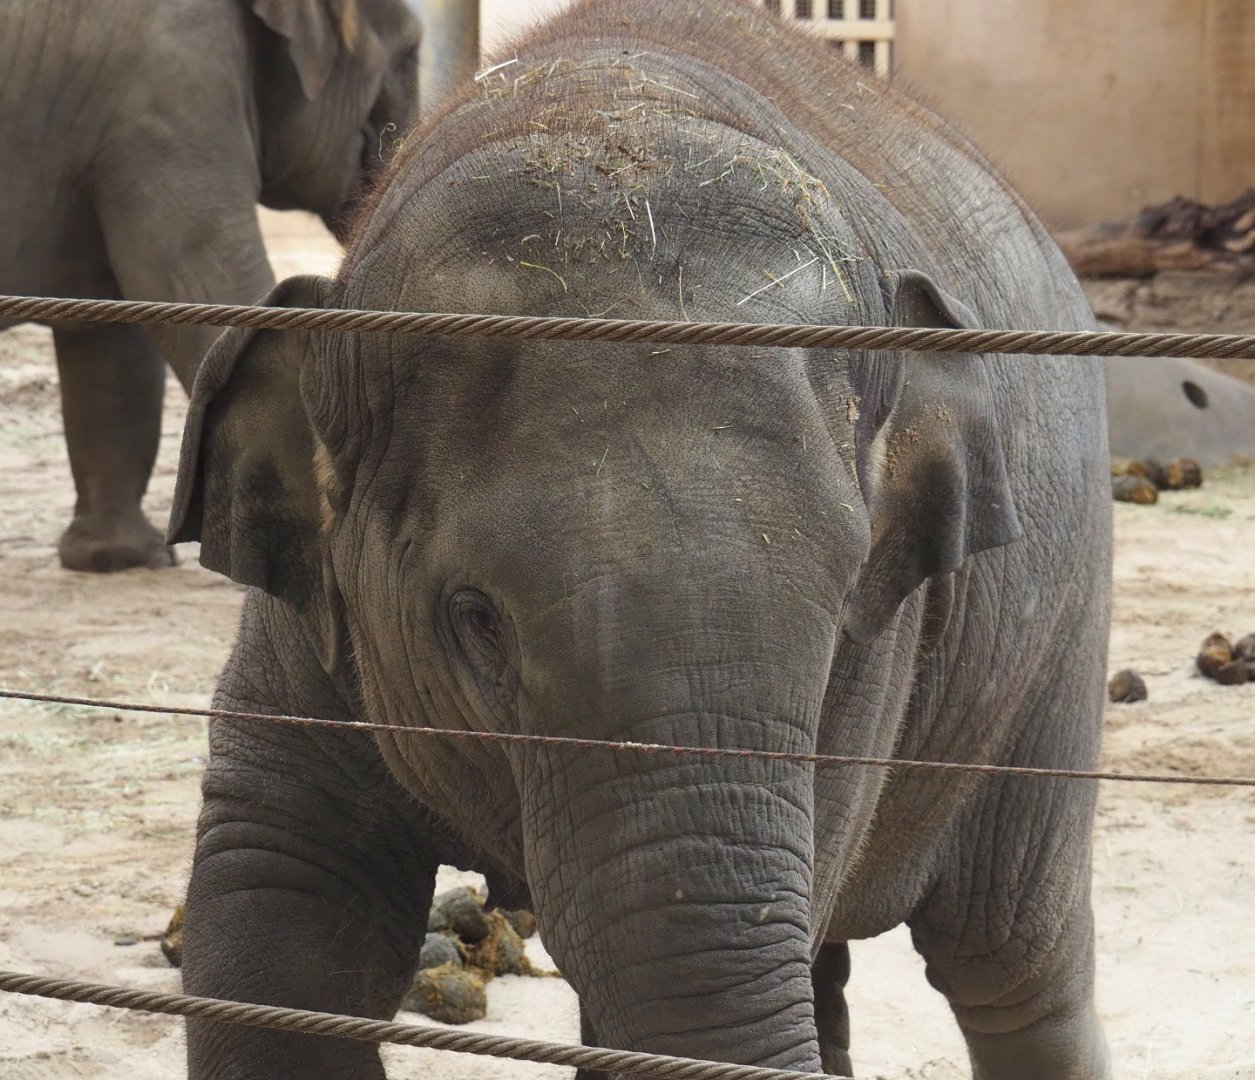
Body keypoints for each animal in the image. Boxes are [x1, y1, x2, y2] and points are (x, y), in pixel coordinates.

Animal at [167, 1, 1113, 1077]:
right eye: (476, 620)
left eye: (842, 610)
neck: (599, 101)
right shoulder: (301, 630)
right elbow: (270, 914)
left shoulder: (880, 660)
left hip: (1053, 642)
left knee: (1008, 959)